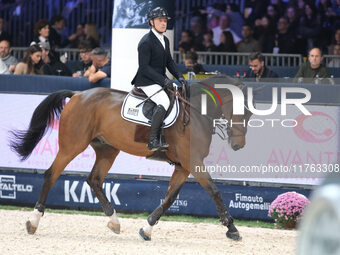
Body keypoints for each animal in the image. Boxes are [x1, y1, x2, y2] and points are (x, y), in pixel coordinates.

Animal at [9, 75, 252, 241]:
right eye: (241, 110)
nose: (239, 145)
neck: (195, 113)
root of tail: (78, 95)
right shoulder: (193, 162)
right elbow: (214, 191)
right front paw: (232, 229)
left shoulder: (184, 166)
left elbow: (170, 198)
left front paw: (147, 228)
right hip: (72, 146)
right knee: (52, 174)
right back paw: (33, 221)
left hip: (107, 150)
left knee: (94, 180)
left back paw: (114, 222)